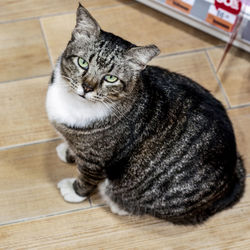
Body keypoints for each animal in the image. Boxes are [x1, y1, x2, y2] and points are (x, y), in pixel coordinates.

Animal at [46, 2, 245, 224]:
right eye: (82, 63)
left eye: (111, 78)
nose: (87, 88)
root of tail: (232, 180)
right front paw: (67, 150)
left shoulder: (95, 160)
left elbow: (87, 179)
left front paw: (74, 191)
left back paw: (117, 204)